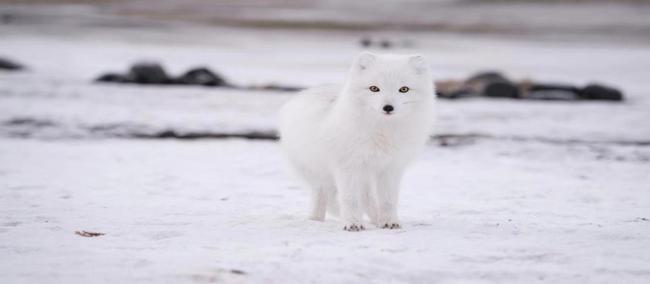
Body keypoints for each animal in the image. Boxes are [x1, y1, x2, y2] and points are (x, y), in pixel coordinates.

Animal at [276, 52, 432, 232]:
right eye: (374, 88)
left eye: (404, 89)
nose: (388, 107)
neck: (382, 132)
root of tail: (304, 93)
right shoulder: (347, 166)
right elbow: (350, 199)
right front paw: (353, 223)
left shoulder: (391, 168)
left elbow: (388, 200)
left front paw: (389, 222)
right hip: (317, 172)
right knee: (321, 194)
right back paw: (315, 219)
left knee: (367, 198)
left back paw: (376, 219)